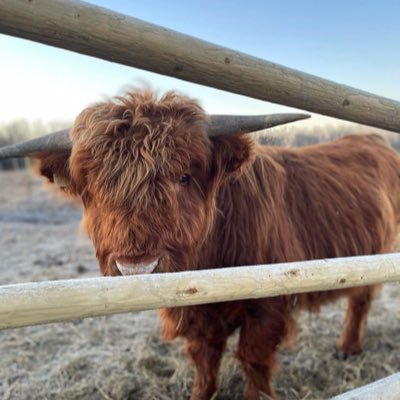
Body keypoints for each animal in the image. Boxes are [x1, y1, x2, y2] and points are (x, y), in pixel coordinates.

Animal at [3, 91, 400, 400]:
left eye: (183, 177)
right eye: (94, 189)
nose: (137, 267)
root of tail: (370, 139)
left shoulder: (267, 307)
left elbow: (254, 361)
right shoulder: (195, 312)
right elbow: (205, 362)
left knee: (360, 300)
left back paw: (347, 348)